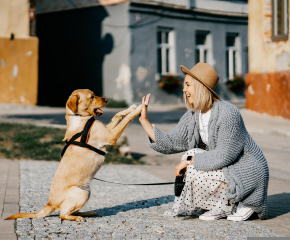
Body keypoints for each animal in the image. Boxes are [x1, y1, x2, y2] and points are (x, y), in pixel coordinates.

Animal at [5, 88, 143, 221]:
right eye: (91, 97)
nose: (107, 99)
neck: (79, 117)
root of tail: (50, 203)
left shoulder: (108, 130)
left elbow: (117, 115)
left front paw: (131, 108)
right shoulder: (111, 136)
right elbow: (126, 119)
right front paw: (139, 109)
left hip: (87, 191)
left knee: (72, 210)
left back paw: (87, 213)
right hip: (81, 193)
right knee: (63, 214)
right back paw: (77, 218)